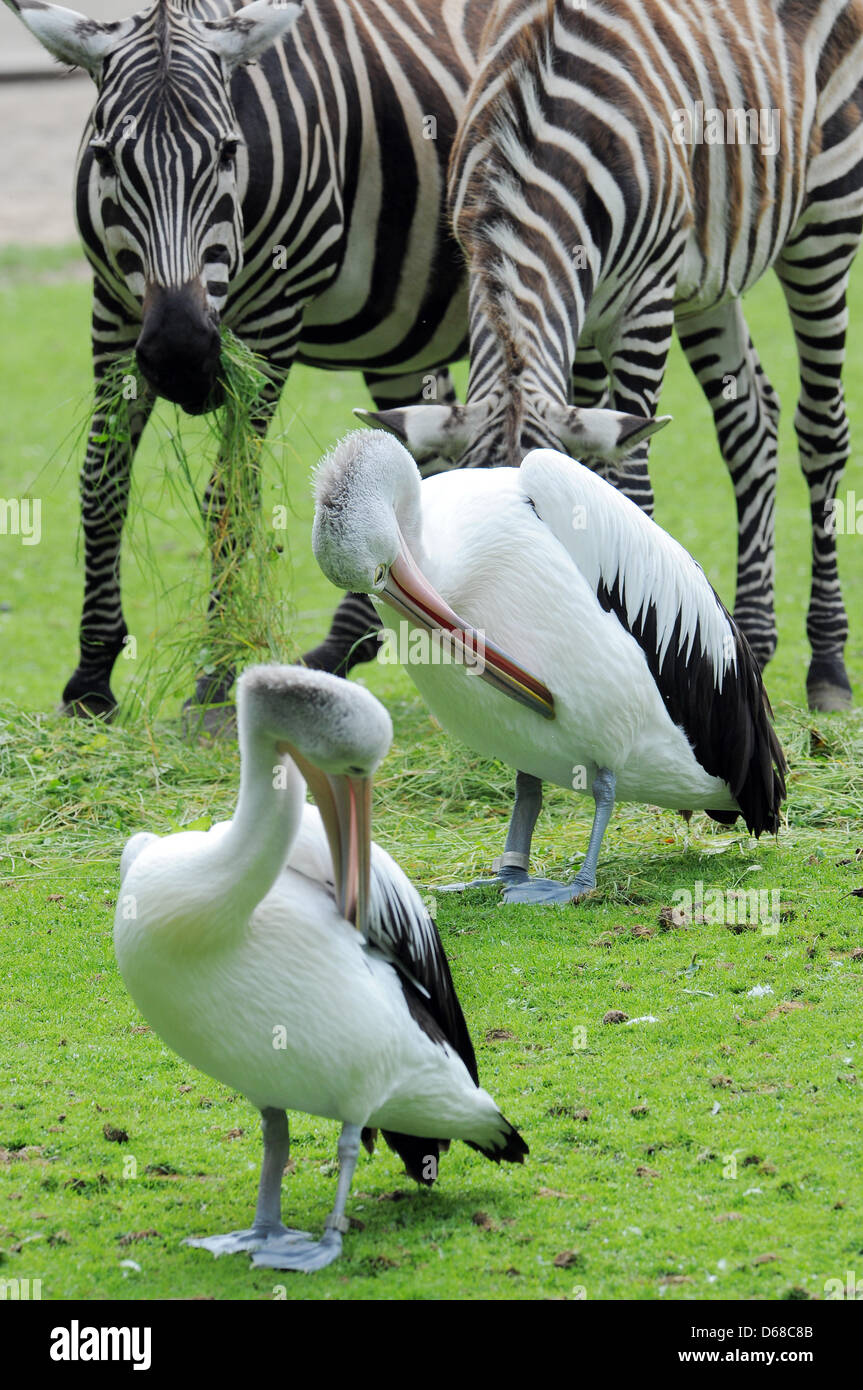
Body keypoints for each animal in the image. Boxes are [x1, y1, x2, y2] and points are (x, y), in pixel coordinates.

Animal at [5, 0, 485, 716]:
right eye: (106, 156)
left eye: (230, 152)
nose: (181, 357)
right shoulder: (114, 310)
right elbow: (102, 482)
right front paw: (90, 678)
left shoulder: (272, 322)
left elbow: (228, 494)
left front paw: (214, 680)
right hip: (404, 342)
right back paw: (342, 649)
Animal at [359, 0, 863, 712]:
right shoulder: (568, 305)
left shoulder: (643, 303)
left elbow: (630, 488)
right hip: (708, 279)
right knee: (751, 425)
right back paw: (755, 641)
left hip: (825, 222)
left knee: (822, 429)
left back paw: (828, 666)